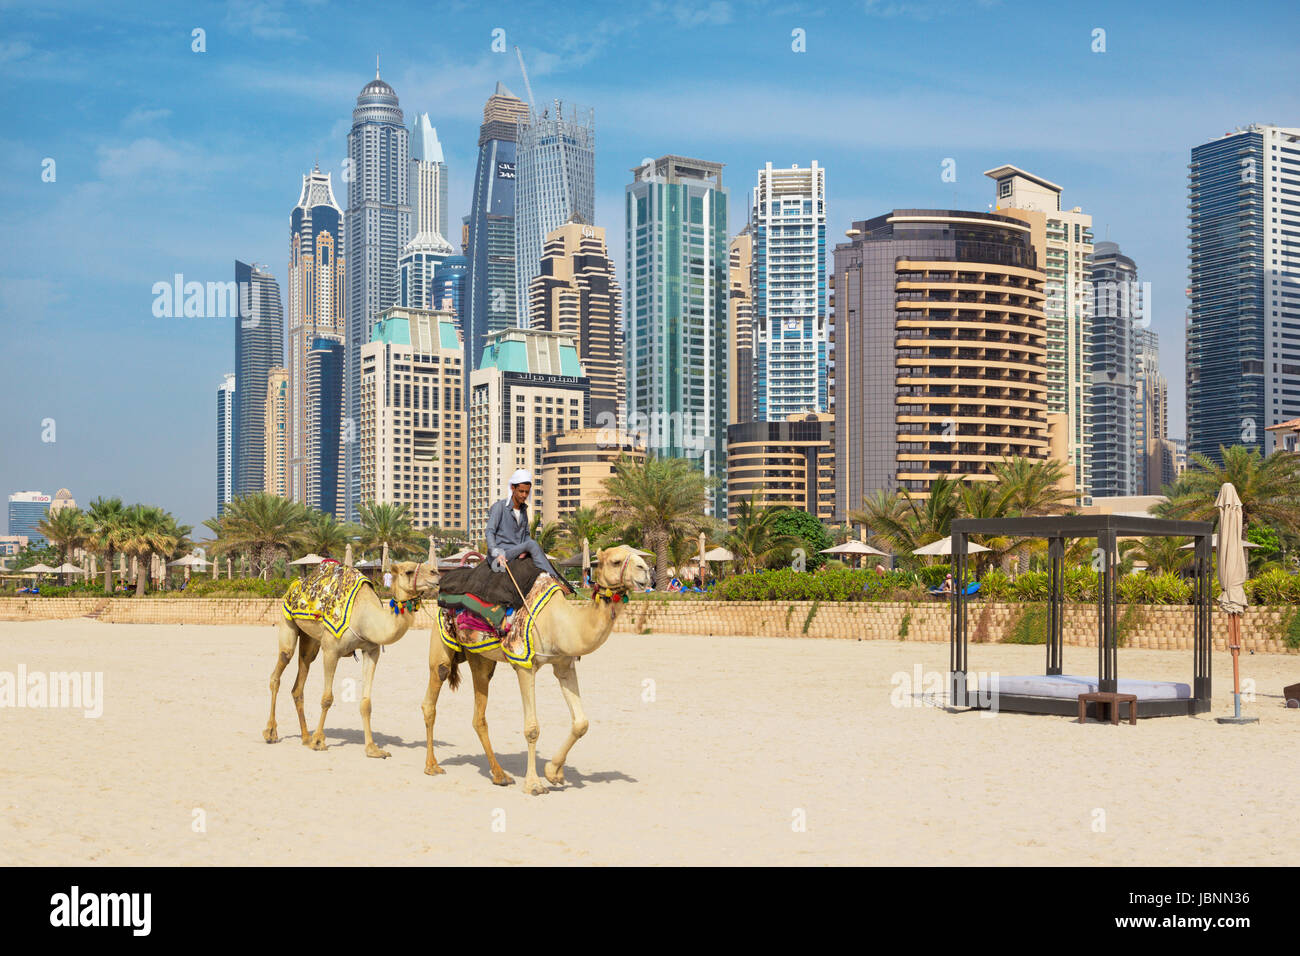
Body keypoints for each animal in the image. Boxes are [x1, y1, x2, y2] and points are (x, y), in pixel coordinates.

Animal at [261, 561, 439, 754]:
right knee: (279, 669)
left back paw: (306, 737)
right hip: (288, 621)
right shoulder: (331, 650)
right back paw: (271, 732)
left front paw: (373, 749)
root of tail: (295, 584)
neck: (365, 616)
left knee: (299, 681)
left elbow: (366, 703)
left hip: (310, 640)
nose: (436, 573)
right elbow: (327, 699)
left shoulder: (371, 651)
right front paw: (319, 741)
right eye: (408, 571)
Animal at [423, 541, 655, 796]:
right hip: (442, 637)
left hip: (480, 658)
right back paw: (432, 766)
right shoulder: (524, 663)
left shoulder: (564, 665)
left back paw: (499, 774)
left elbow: (581, 723)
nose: (646, 571)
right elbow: (532, 728)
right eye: (615, 561)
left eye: (638, 556)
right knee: (433, 694)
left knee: (478, 715)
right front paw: (534, 784)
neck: (558, 621)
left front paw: (554, 772)